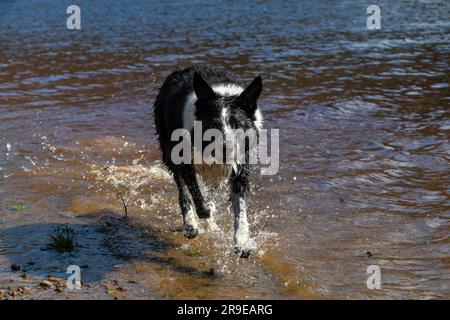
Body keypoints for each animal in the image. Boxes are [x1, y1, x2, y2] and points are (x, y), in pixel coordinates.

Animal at [153, 65, 262, 258]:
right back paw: (191, 225)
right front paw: (199, 217)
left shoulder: (240, 167)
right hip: (168, 150)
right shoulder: (183, 161)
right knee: (183, 192)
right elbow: (196, 196)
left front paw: (242, 242)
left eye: (237, 125)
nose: (227, 149)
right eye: (213, 125)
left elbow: (240, 208)